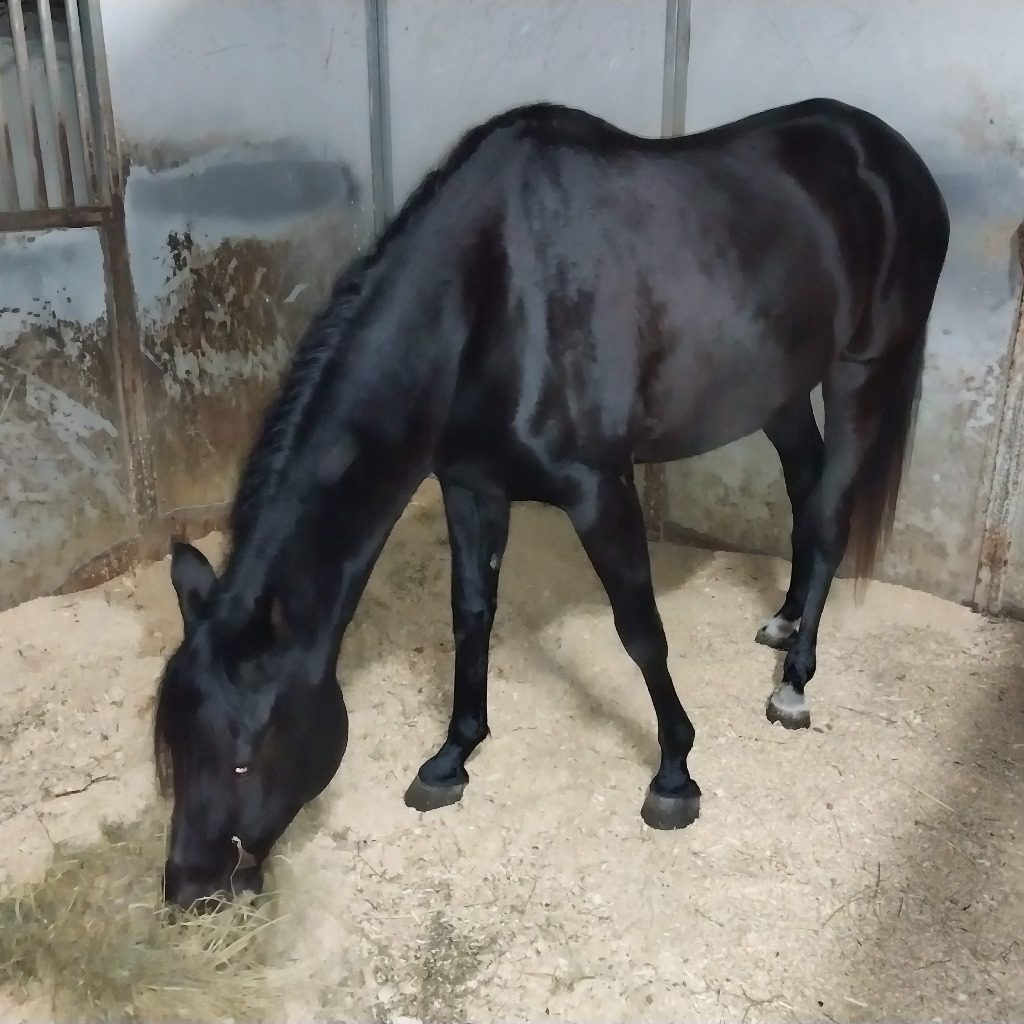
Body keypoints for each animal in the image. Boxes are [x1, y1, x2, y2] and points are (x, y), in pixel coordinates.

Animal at [153, 97, 949, 909]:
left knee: (828, 515)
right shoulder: (470, 485)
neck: (493, 297)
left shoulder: (598, 489)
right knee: (804, 485)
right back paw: (784, 623)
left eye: (247, 756)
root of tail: (885, 151)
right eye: (173, 747)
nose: (189, 885)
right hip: (779, 389)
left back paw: (794, 684)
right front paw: (454, 754)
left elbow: (641, 631)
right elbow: (471, 615)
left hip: (861, 373)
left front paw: (675, 774)